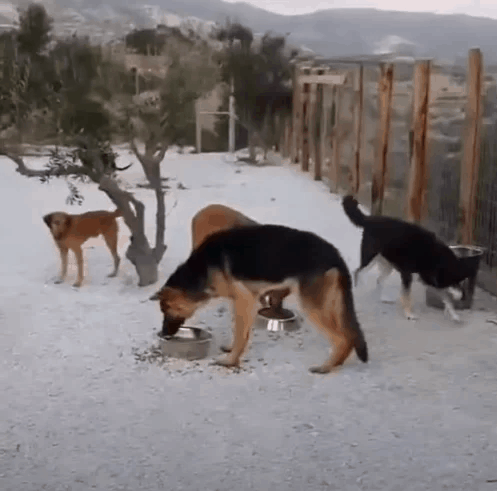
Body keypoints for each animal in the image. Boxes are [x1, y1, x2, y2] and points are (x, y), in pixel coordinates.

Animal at [153, 225, 366, 374]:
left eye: (166, 310)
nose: (164, 334)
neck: (200, 270)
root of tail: (335, 254)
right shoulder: (244, 301)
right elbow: (242, 331)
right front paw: (232, 350)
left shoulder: (243, 300)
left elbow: (240, 333)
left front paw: (230, 361)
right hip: (329, 304)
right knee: (348, 335)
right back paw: (336, 363)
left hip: (313, 306)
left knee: (342, 338)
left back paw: (326, 367)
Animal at [340, 194, 472, 324]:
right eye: (455, 281)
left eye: (460, 281)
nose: (464, 297)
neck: (432, 254)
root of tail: (369, 219)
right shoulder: (408, 275)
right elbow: (407, 296)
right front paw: (409, 314)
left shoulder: (431, 279)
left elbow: (447, 300)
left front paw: (454, 315)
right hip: (370, 258)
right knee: (357, 272)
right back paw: (358, 288)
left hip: (387, 265)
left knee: (378, 279)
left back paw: (383, 298)